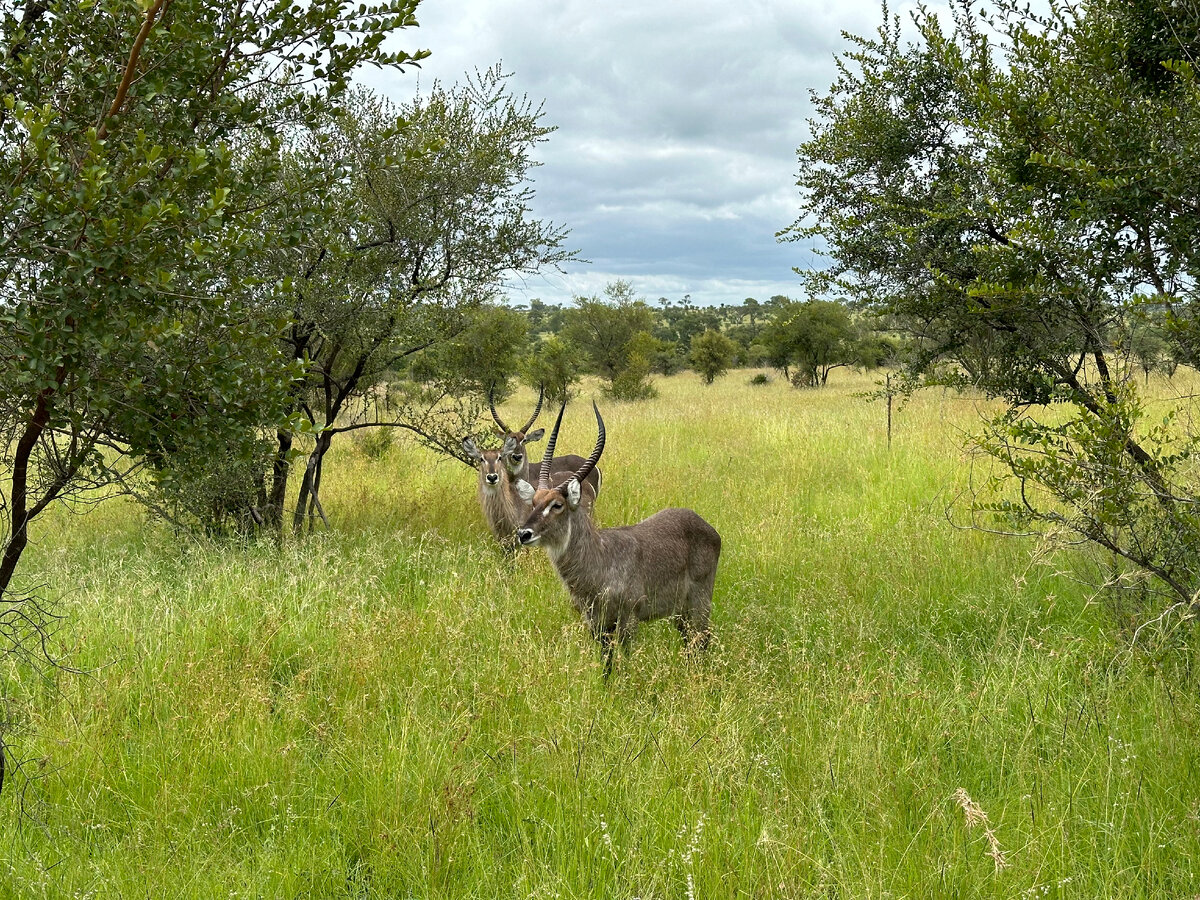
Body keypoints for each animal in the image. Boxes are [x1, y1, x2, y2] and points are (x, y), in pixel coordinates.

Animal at [516, 400, 720, 676]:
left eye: (557, 504)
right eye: (534, 501)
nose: (523, 534)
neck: (600, 560)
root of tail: (705, 524)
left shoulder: (628, 620)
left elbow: (626, 660)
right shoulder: (596, 623)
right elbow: (607, 664)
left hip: (700, 603)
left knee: (703, 639)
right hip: (680, 612)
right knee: (691, 642)